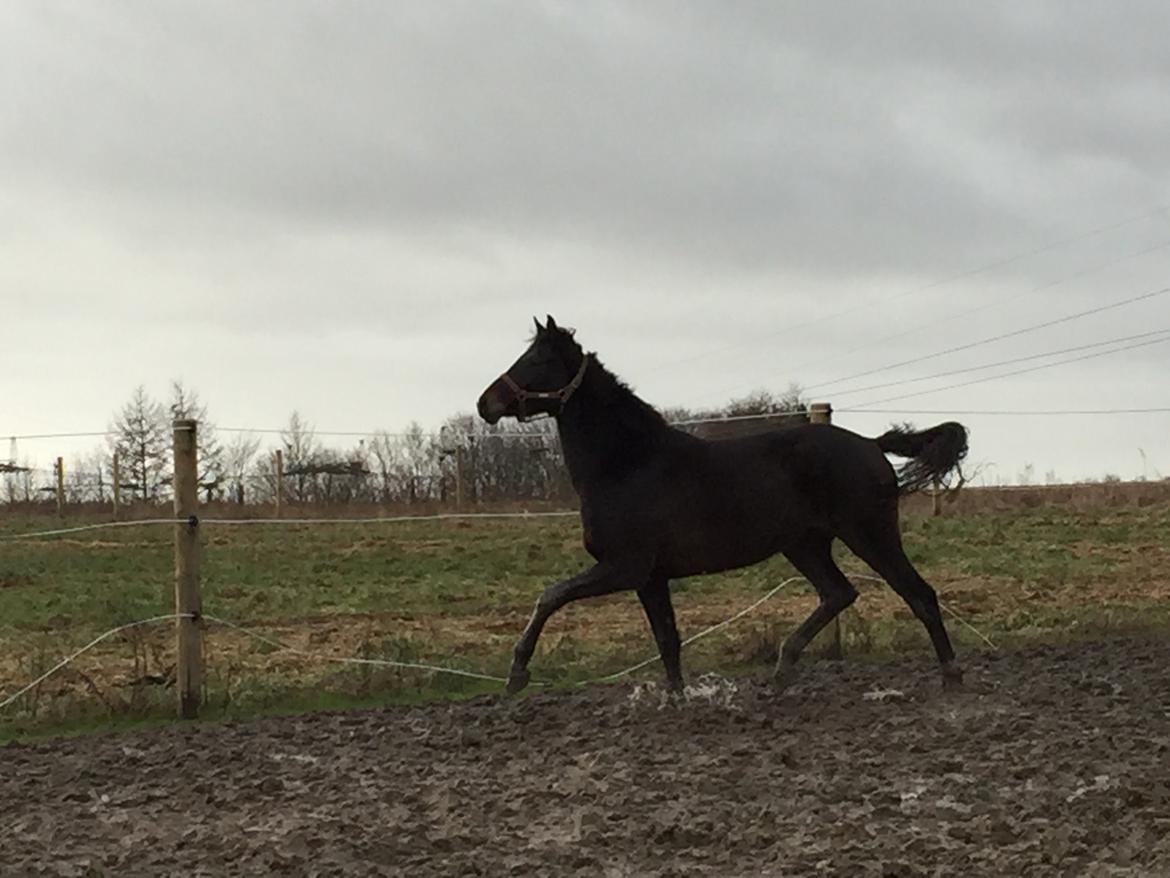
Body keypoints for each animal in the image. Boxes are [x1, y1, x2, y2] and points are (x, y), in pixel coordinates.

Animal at [475, 316, 968, 693]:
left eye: (538, 359)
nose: (485, 404)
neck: (628, 463)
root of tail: (870, 443)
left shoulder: (624, 567)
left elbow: (551, 596)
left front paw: (517, 674)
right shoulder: (650, 578)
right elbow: (667, 642)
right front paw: (676, 700)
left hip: (869, 534)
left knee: (917, 593)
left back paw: (951, 676)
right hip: (805, 545)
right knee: (838, 593)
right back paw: (782, 669)